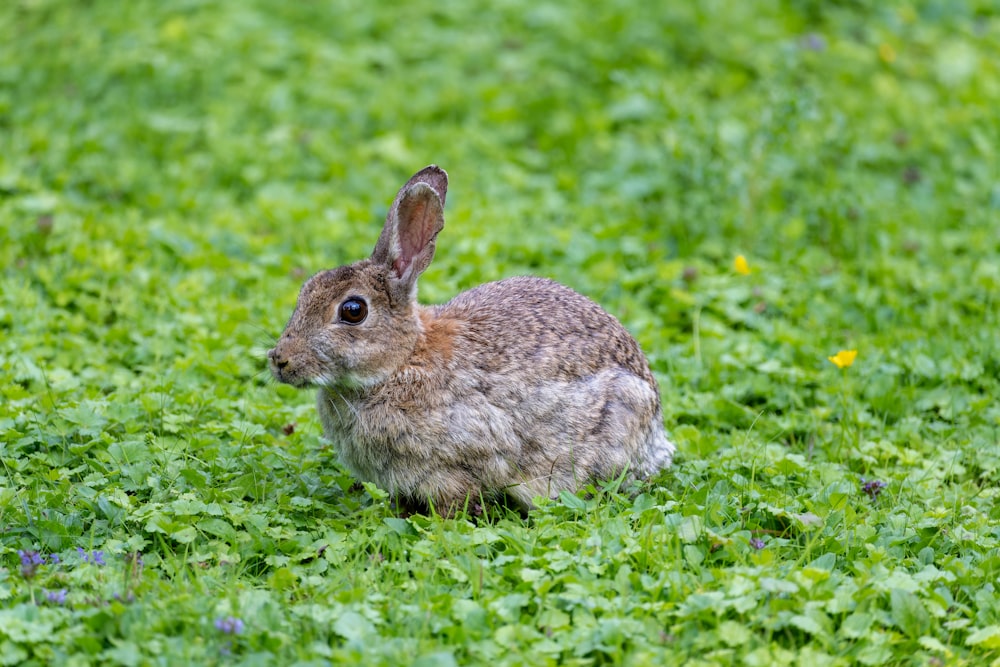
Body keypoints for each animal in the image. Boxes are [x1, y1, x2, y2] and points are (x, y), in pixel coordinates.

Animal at [266, 166, 676, 516]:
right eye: (307, 288)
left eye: (353, 311)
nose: (280, 359)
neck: (402, 361)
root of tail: (655, 429)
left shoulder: (455, 463)